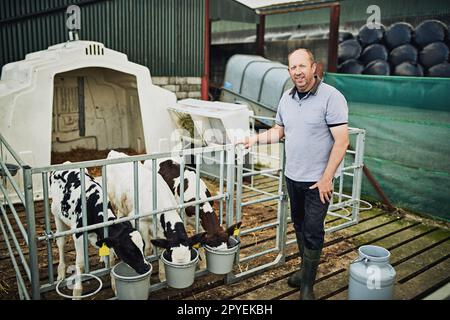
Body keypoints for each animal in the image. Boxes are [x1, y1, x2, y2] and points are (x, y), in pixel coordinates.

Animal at [48, 165, 149, 298]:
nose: (146, 267)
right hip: (56, 213)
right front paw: (77, 293)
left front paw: (114, 286)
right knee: (61, 242)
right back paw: (61, 272)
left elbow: (110, 259)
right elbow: (80, 263)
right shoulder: (78, 235)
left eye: (143, 246)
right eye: (130, 250)